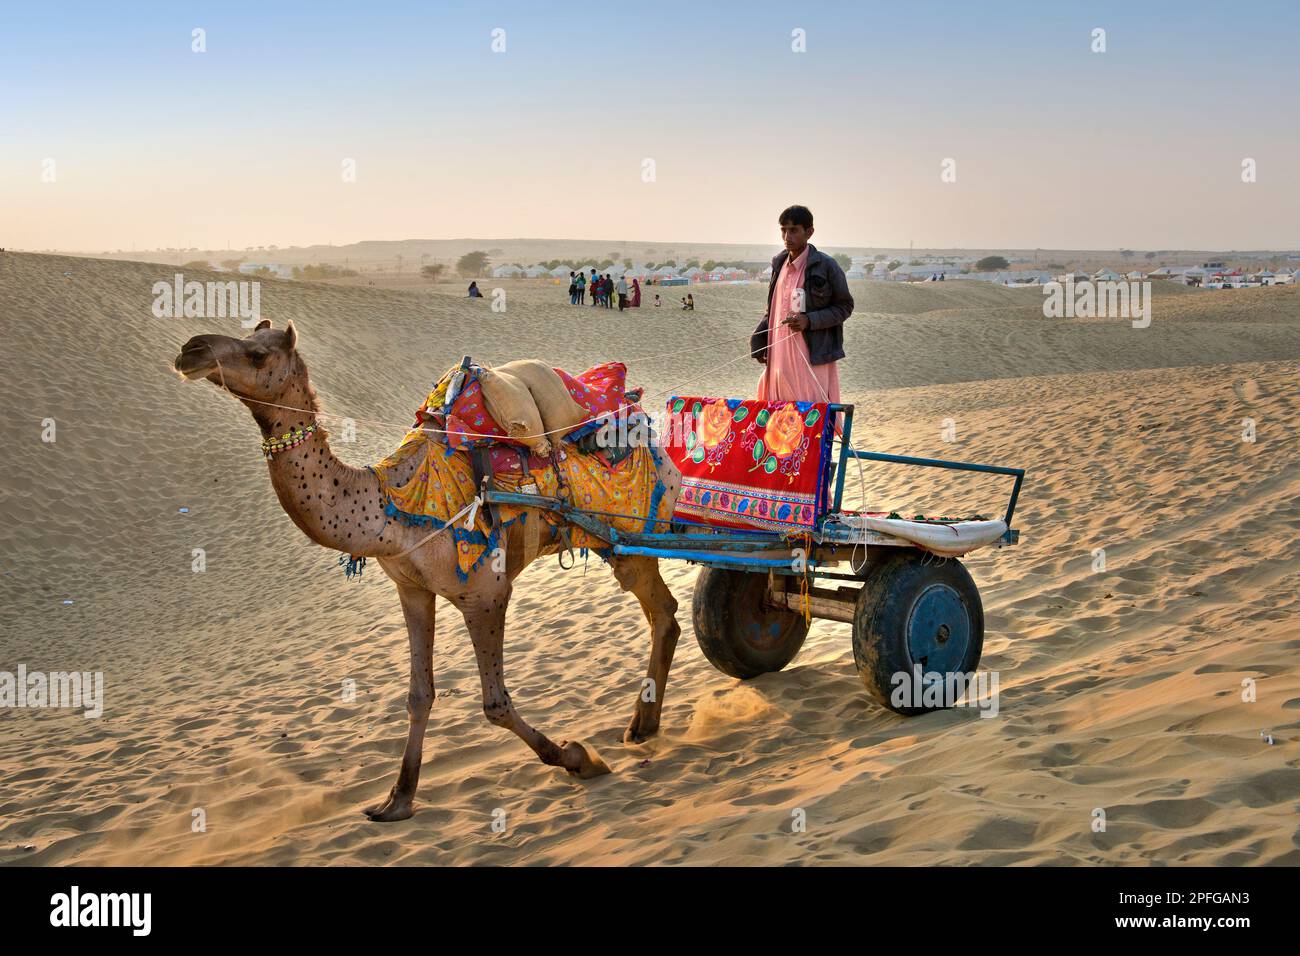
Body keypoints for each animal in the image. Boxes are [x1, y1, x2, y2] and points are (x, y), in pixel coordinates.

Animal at [174, 321, 686, 822]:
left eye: (258, 354)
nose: (190, 350)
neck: (388, 509)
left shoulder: (486, 593)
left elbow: (495, 704)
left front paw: (577, 758)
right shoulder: (412, 590)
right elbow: (418, 695)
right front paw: (398, 799)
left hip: (633, 536)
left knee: (664, 612)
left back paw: (640, 725)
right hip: (615, 543)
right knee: (662, 614)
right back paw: (643, 725)